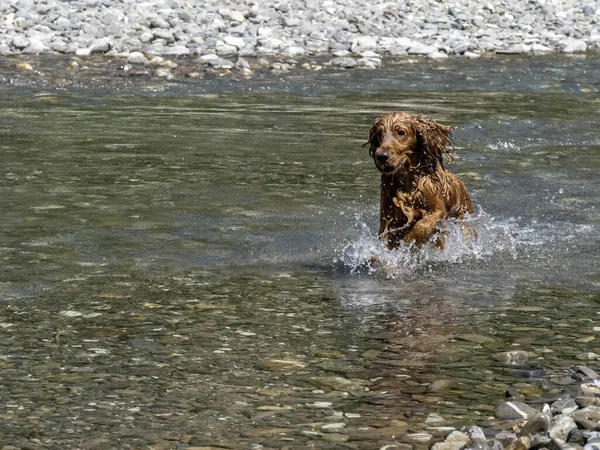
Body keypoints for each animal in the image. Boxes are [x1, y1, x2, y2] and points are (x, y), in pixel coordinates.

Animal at [366, 110, 474, 248]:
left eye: (401, 132)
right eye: (379, 134)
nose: (381, 156)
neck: (407, 180)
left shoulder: (438, 212)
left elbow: (421, 226)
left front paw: (408, 241)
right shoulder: (386, 216)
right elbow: (386, 235)